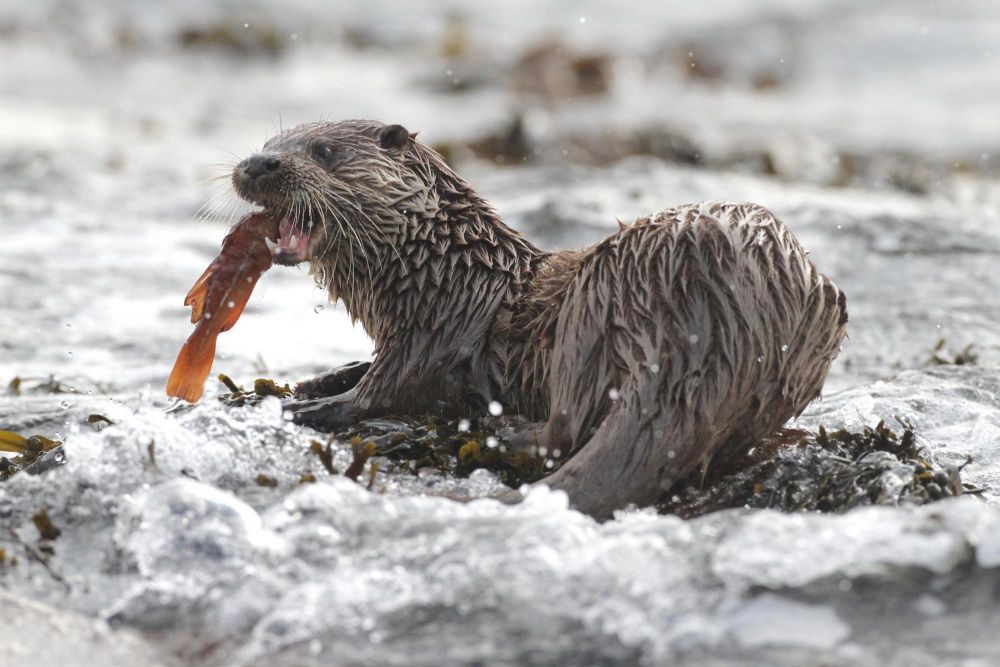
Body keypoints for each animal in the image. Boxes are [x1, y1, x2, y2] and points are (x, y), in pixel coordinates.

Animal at [230, 120, 848, 520]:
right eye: (268, 143)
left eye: (323, 150)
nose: (258, 163)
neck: (443, 267)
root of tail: (718, 334)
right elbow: (359, 369)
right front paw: (312, 381)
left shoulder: (437, 327)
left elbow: (384, 388)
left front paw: (304, 406)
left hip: (596, 303)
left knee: (563, 429)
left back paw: (501, 431)